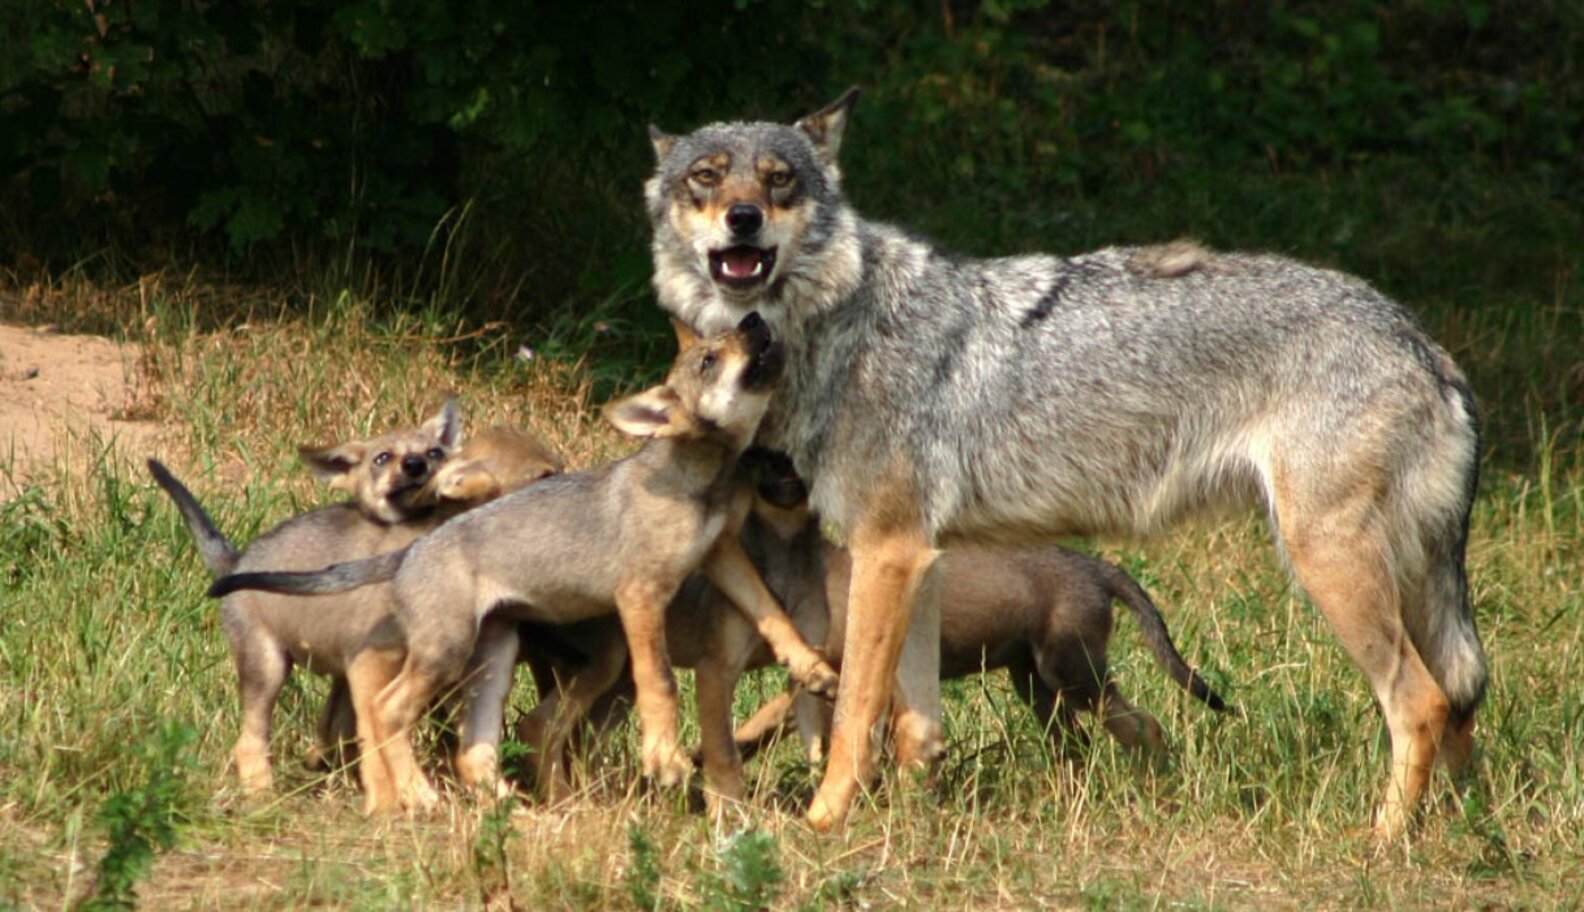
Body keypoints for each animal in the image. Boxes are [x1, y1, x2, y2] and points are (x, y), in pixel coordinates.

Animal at [209, 315, 841, 813]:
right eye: (709, 359)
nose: (756, 319)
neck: (698, 482)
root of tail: (409, 550)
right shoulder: (641, 597)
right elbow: (660, 680)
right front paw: (663, 757)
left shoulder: (723, 554)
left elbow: (774, 615)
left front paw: (811, 668)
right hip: (450, 650)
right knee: (389, 713)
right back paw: (419, 795)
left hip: (495, 660)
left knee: (480, 749)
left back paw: (517, 809)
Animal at [644, 89, 1486, 837]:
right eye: (707, 178)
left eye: (778, 180)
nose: (743, 219)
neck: (833, 328)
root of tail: (1421, 342)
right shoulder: (918, 558)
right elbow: (917, 730)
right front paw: (913, 826)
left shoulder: (886, 554)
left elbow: (853, 715)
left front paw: (821, 826)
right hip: (1400, 580)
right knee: (1458, 703)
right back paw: (1460, 834)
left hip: (1327, 565)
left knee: (1420, 703)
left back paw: (1384, 841)